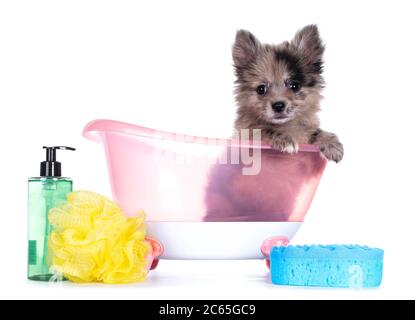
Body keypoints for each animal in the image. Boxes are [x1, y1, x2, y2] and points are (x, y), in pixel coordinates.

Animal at [234, 24, 344, 162]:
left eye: (294, 86)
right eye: (261, 89)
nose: (278, 105)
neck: (286, 125)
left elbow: (315, 131)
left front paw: (331, 143)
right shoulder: (246, 131)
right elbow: (264, 129)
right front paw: (284, 139)